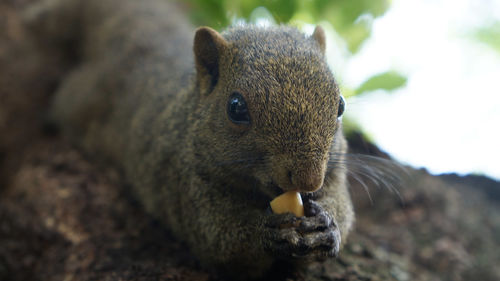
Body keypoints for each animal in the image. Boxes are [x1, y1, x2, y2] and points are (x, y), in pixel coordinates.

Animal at [25, 0, 356, 276]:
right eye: (236, 108)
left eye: (340, 105)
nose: (309, 180)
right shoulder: (185, 186)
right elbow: (218, 239)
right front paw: (267, 231)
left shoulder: (335, 172)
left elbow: (343, 208)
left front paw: (328, 225)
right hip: (80, 98)